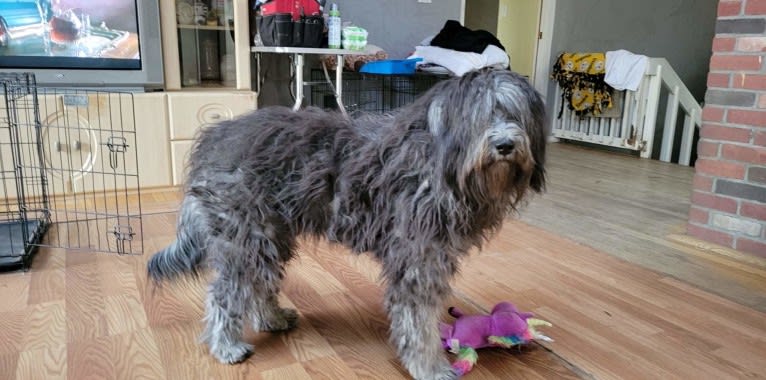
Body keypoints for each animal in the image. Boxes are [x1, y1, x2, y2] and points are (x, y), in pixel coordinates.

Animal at [148, 67, 544, 378]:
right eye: (483, 116)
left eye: (515, 115)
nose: (506, 145)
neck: (440, 162)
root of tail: (214, 138)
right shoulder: (417, 260)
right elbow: (418, 323)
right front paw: (431, 367)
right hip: (244, 235)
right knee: (224, 293)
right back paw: (226, 346)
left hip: (270, 235)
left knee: (259, 283)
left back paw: (271, 318)